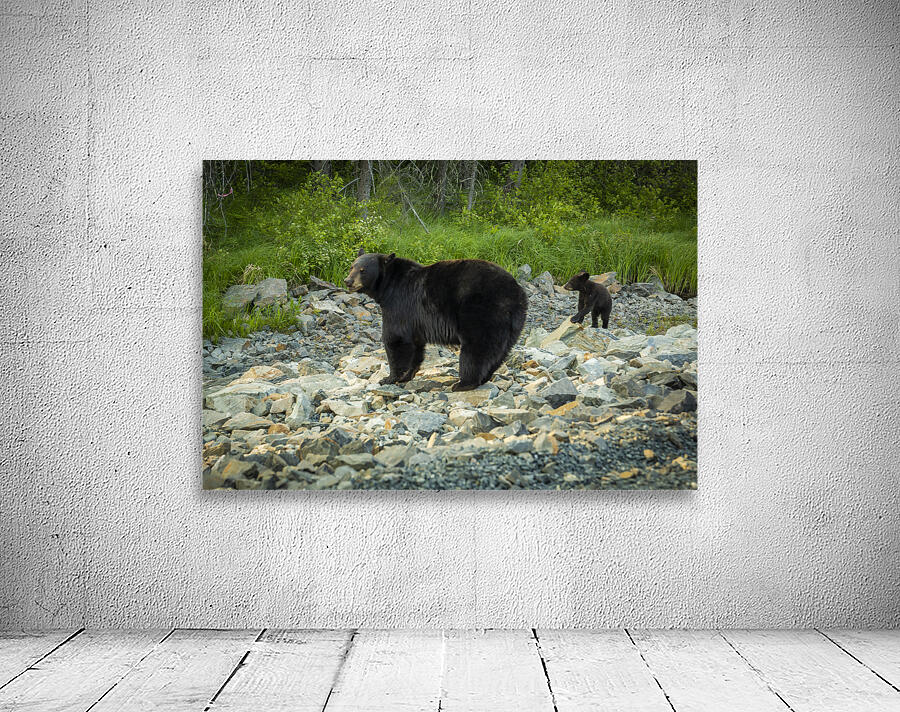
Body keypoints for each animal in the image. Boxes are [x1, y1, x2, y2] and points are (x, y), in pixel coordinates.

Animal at [344, 250, 528, 391]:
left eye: (363, 270)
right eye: (352, 266)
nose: (348, 281)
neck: (388, 285)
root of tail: (515, 291)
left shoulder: (399, 305)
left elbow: (396, 339)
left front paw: (389, 378)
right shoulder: (415, 320)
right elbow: (416, 346)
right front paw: (407, 375)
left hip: (481, 311)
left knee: (476, 347)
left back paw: (464, 383)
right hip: (514, 323)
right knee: (499, 351)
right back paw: (484, 378)